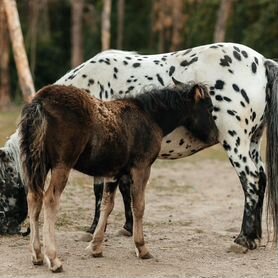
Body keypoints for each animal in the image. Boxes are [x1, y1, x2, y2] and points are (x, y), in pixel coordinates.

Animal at [0, 43, 278, 250]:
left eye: (1, 183)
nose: (4, 230)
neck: (88, 90)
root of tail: (262, 62)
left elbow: (100, 193)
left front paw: (94, 230)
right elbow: (124, 190)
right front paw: (126, 226)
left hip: (236, 142)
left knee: (251, 181)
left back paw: (244, 239)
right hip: (253, 141)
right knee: (261, 178)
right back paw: (255, 236)